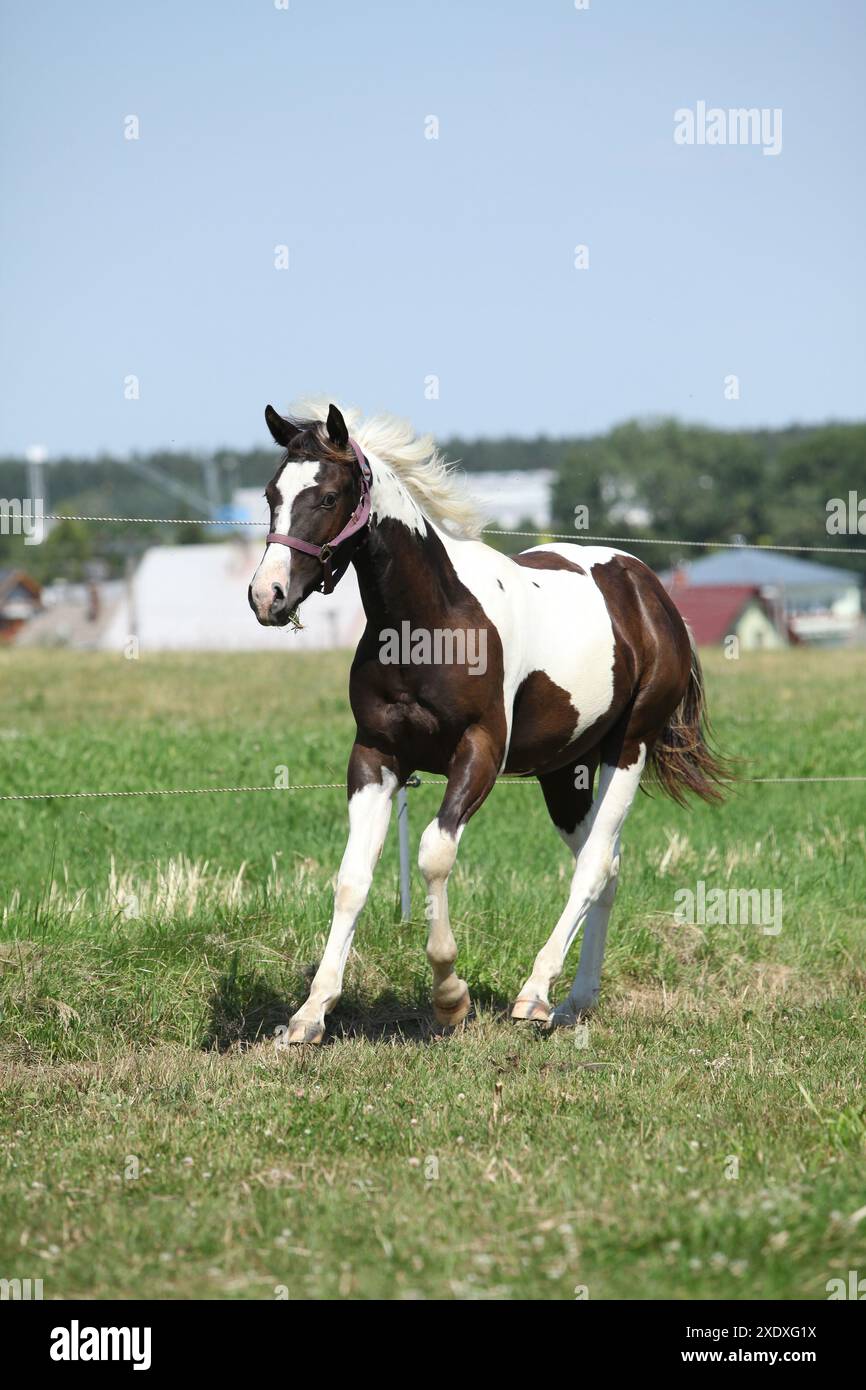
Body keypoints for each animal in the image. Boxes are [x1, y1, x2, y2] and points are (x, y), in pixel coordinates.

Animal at [248, 401, 726, 1044]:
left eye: (326, 496)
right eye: (272, 494)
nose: (267, 595)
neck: (429, 624)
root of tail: (649, 589)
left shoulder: (479, 753)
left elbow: (433, 854)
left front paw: (451, 997)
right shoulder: (375, 756)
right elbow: (352, 877)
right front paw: (310, 1014)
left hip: (629, 748)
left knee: (594, 866)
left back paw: (535, 995)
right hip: (563, 771)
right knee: (607, 867)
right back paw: (574, 1001)